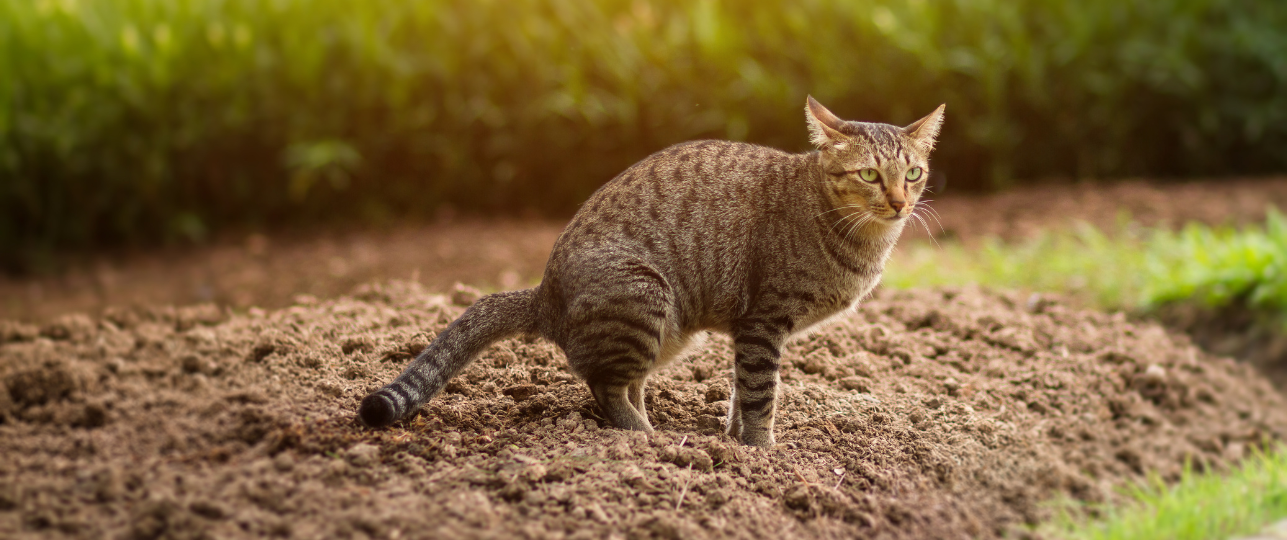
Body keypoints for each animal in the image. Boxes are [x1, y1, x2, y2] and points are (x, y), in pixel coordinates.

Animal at [362, 97, 947, 447]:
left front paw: (733, 439)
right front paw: (762, 452)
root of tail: (544, 294)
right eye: (869, 175)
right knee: (605, 387)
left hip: (668, 330)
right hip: (644, 296)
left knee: (626, 381)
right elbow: (761, 393)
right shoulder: (763, 323)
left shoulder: (749, 333)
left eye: (914, 173)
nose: (900, 203)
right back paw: (647, 439)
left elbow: (740, 393)